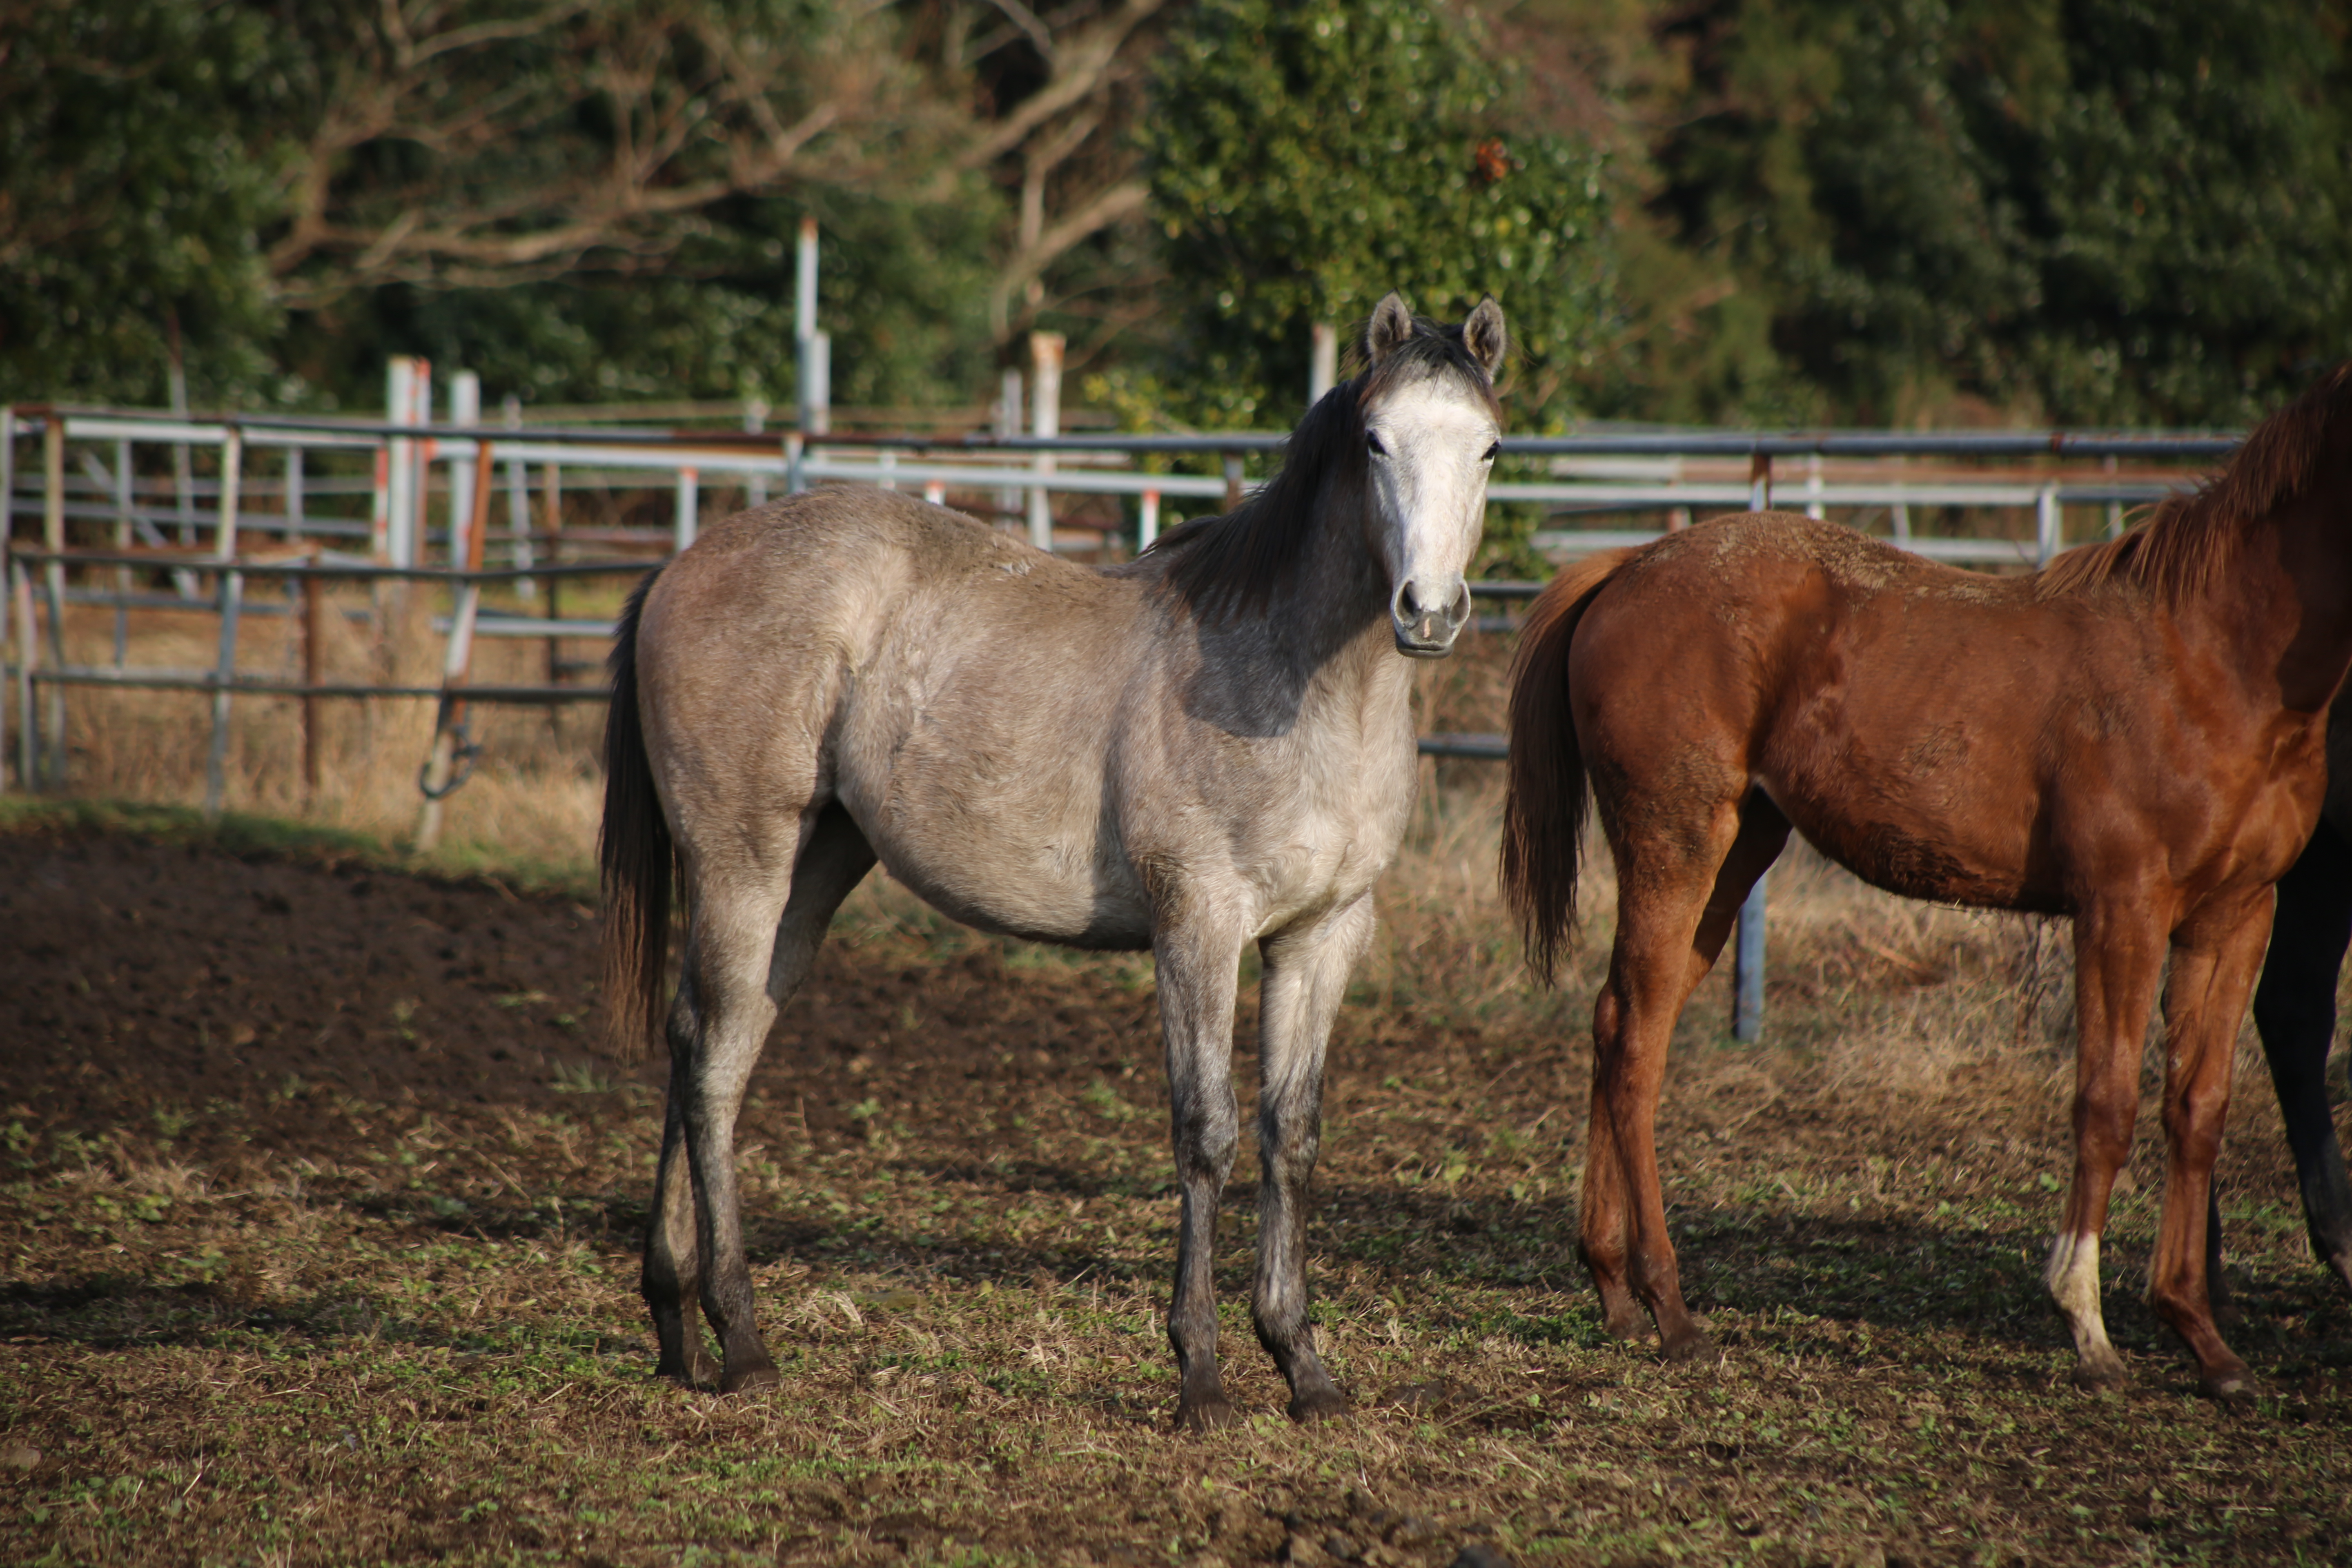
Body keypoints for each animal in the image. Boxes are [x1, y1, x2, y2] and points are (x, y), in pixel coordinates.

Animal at [602, 288, 1505, 1429]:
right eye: (1377, 440)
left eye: (1488, 447)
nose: (1427, 611)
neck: (1294, 685)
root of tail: (678, 565)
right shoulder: (1198, 925)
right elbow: (1206, 1131)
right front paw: (1201, 1376)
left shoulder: (1323, 935)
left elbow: (1290, 1137)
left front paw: (1303, 1368)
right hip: (743, 864)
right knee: (713, 1064)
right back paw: (742, 1340)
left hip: (812, 872)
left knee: (706, 1045)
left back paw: (677, 1325)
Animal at [1505, 364, 2352, 1401]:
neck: (2211, 655)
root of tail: (1626, 565)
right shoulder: (2122, 908)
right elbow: (2105, 1102)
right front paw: (2085, 1322)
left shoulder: (2235, 916)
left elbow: (2197, 1110)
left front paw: (2201, 1337)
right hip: (1677, 843)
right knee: (1633, 1046)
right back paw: (1670, 1308)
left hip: (1731, 858)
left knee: (1620, 1018)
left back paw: (1614, 1291)